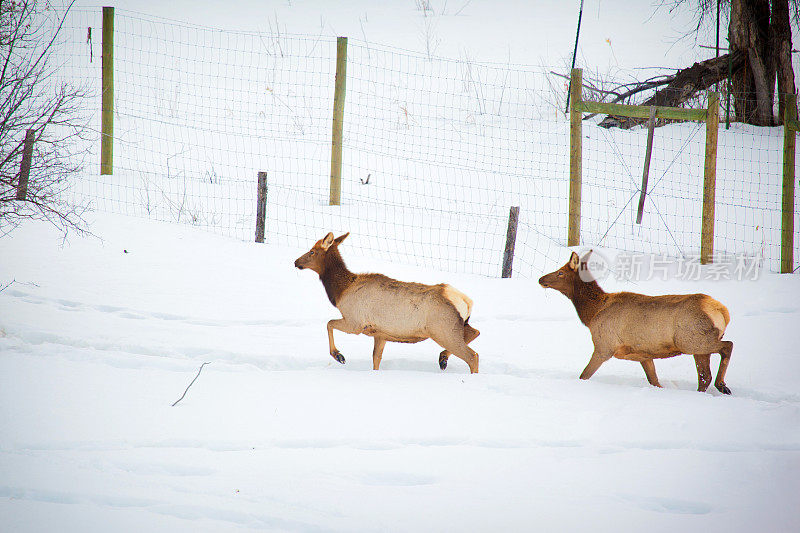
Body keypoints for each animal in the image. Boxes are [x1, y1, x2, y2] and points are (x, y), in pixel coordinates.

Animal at [296, 233, 478, 374]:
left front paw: (339, 355)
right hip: (456, 326)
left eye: (312, 251)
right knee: (475, 332)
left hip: (443, 329)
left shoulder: (355, 323)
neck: (340, 292)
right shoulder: (379, 333)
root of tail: (466, 301)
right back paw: (443, 358)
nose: (296, 261)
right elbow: (376, 359)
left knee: (472, 356)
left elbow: (329, 323)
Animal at [540, 251, 736, 392]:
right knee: (704, 376)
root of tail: (722, 311)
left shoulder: (604, 346)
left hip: (691, 341)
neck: (592, 314)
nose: (541, 279)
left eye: (560, 272)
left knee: (727, 346)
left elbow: (584, 375)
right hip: (695, 346)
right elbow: (654, 380)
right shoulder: (644, 354)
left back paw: (722, 385)